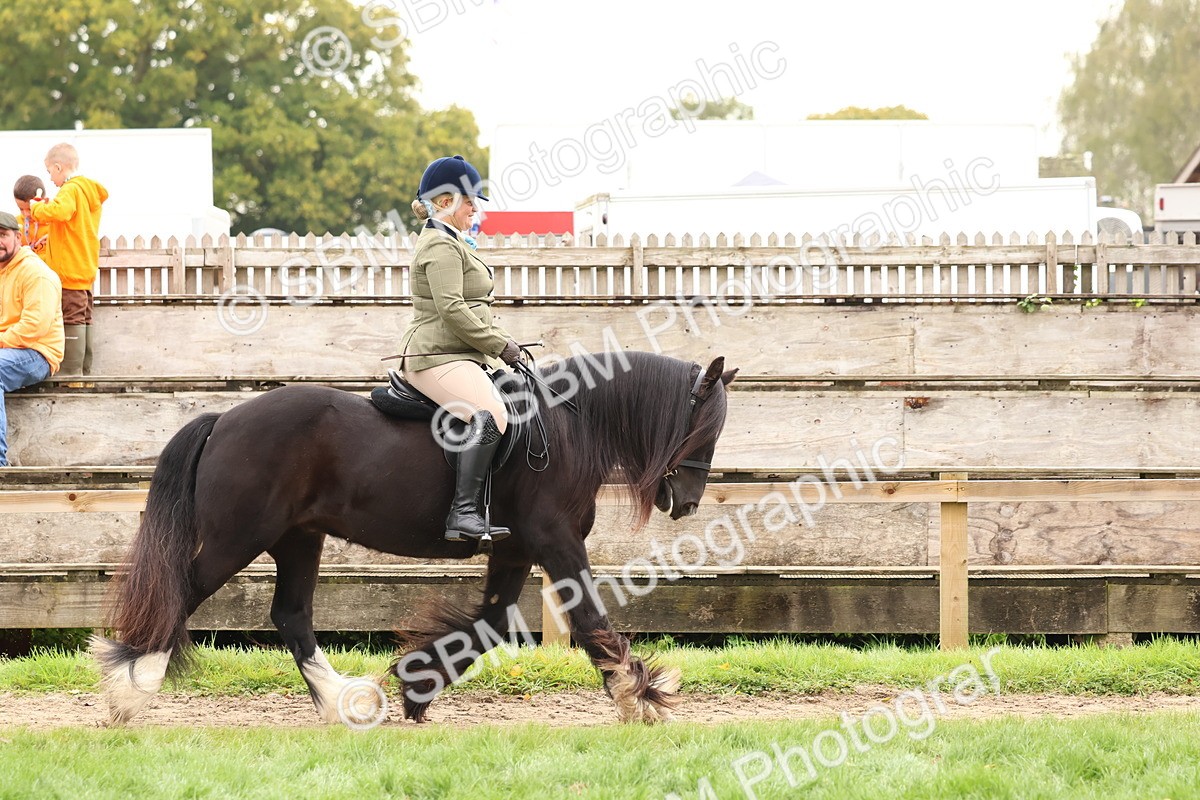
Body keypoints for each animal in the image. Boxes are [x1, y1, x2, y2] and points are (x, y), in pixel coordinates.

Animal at [92, 351, 737, 726]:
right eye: (704, 427)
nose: (688, 502)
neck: (568, 424)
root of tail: (224, 420)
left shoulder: (515, 547)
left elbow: (490, 622)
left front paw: (417, 686)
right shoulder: (553, 540)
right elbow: (589, 617)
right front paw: (636, 694)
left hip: (298, 538)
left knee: (291, 616)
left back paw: (345, 704)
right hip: (238, 538)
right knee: (183, 592)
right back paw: (130, 694)